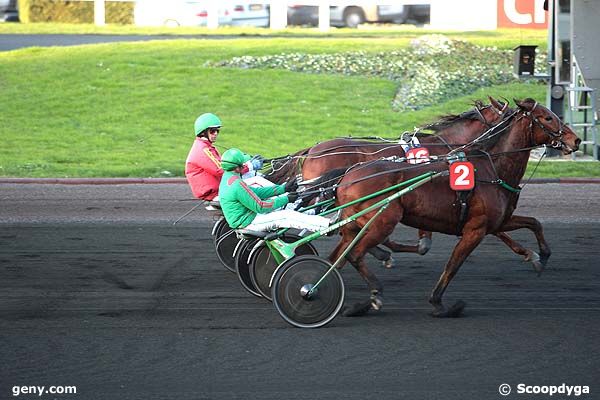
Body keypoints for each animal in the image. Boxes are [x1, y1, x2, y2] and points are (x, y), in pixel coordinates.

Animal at [330, 98, 580, 318]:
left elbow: (534, 223)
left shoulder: (498, 220)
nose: (576, 140)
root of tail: (347, 177)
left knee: (339, 257)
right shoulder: (476, 229)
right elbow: (452, 266)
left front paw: (540, 257)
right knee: (354, 254)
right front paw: (439, 304)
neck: (491, 168)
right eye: (547, 117)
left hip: (355, 225)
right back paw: (373, 293)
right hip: (382, 222)